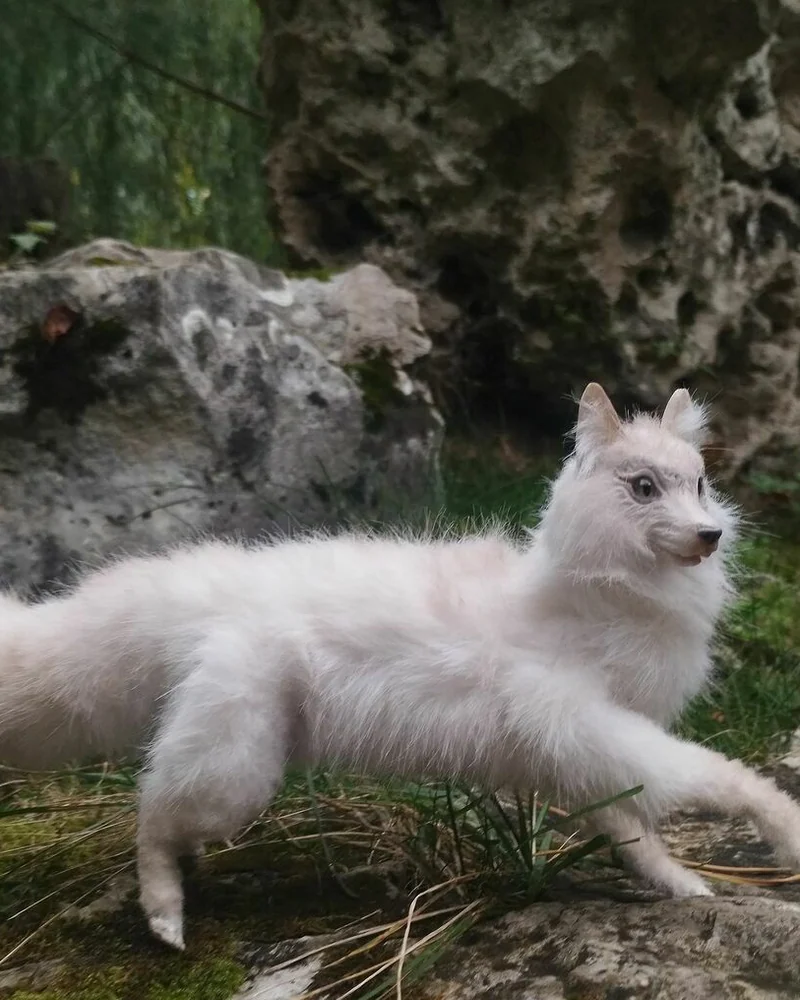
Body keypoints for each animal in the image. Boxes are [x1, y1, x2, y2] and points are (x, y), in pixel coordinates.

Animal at [2, 382, 800, 951]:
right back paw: (166, 919)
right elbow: (713, 777)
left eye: (700, 485)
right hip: (235, 771)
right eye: (642, 488)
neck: (598, 601)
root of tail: (201, 590)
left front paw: (681, 885)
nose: (711, 535)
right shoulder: (593, 725)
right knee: (150, 817)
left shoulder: (581, 754)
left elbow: (634, 833)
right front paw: (782, 829)